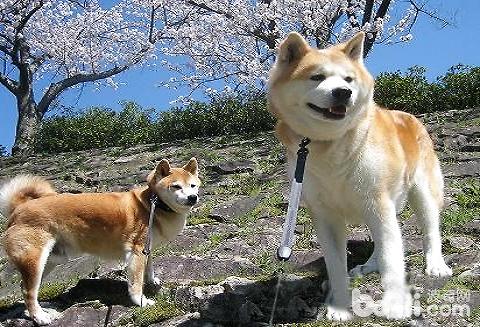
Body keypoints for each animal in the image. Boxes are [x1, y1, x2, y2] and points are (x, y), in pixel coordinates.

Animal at [0, 159, 200, 326]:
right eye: (176, 186)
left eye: (193, 185)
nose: (193, 197)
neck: (153, 204)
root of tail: (18, 208)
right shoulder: (136, 252)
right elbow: (135, 284)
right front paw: (142, 302)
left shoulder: (146, 249)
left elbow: (149, 269)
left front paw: (152, 281)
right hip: (35, 260)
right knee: (29, 291)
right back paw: (40, 316)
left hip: (51, 260)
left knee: (25, 287)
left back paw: (37, 310)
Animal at [268, 32, 452, 322]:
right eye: (316, 77)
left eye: (348, 79)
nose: (343, 93)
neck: (329, 144)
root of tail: (406, 114)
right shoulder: (326, 215)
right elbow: (337, 267)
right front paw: (341, 306)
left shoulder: (377, 203)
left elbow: (392, 258)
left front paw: (395, 304)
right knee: (381, 241)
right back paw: (369, 265)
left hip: (421, 192)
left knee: (429, 230)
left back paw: (436, 265)